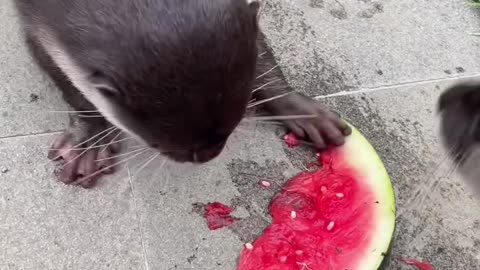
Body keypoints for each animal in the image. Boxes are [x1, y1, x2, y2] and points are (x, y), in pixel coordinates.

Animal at [15, 0, 350, 188]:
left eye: (232, 126)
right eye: (159, 143)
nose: (210, 155)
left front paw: (299, 107)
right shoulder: (36, 20)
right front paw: (91, 141)